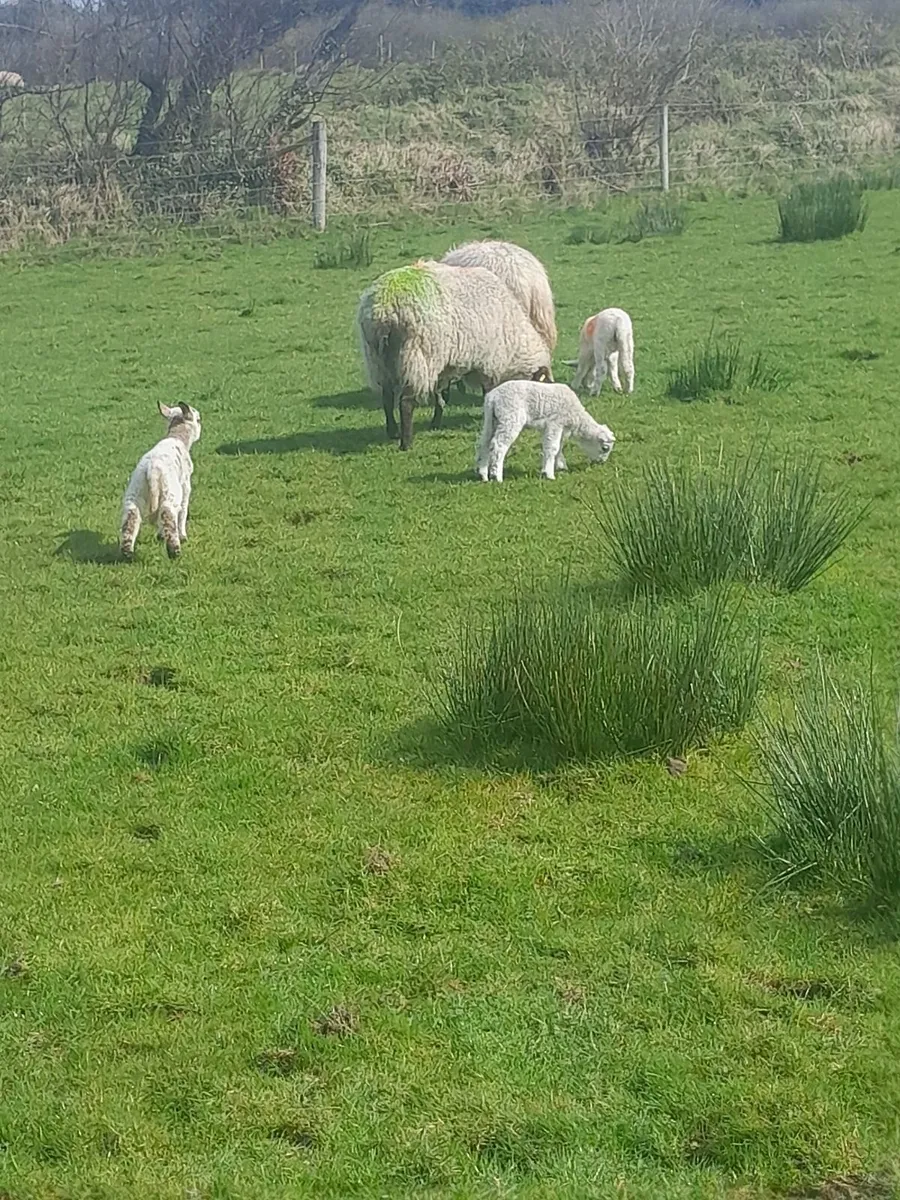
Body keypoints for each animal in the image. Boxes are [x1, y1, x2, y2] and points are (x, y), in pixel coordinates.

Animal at [120, 402, 201, 560]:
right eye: (198, 420)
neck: (177, 436)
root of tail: (152, 469)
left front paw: (160, 535)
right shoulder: (186, 485)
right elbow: (183, 510)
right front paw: (183, 535)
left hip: (136, 491)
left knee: (132, 516)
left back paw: (127, 553)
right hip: (171, 491)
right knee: (168, 514)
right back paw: (175, 551)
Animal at [357, 259, 553, 450]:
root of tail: (384, 309)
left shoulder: (448, 365)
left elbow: (441, 396)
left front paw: (436, 423)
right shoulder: (489, 362)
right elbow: (487, 393)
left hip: (378, 360)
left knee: (387, 398)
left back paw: (393, 432)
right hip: (416, 357)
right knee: (405, 402)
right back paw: (406, 442)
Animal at [475, 379, 615, 482]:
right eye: (605, 448)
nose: (601, 463)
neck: (576, 416)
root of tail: (492, 397)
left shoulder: (559, 428)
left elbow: (558, 447)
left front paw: (560, 466)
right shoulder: (555, 423)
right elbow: (553, 447)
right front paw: (549, 474)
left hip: (492, 419)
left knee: (484, 443)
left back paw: (483, 474)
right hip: (510, 417)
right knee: (499, 445)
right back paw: (497, 476)